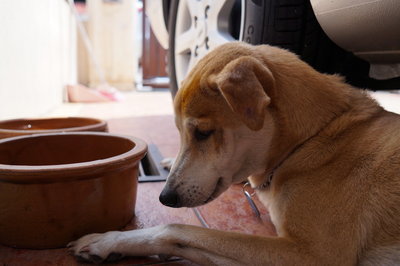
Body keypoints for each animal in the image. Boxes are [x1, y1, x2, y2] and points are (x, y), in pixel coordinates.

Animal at [69, 42, 400, 264]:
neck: (308, 141)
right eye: (179, 133)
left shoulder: (310, 255)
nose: (165, 197)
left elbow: (175, 228)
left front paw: (108, 239)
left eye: (202, 132)